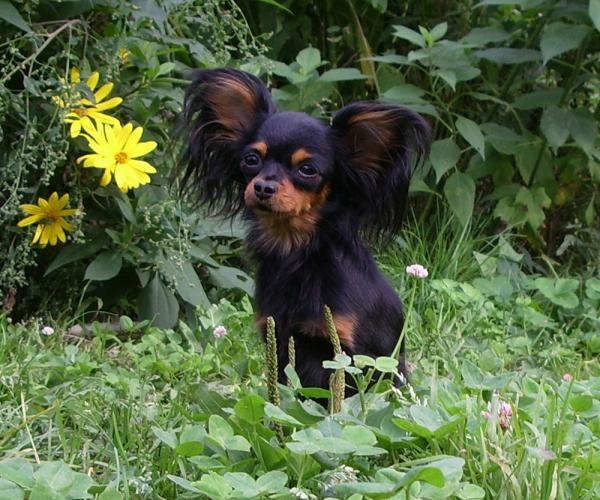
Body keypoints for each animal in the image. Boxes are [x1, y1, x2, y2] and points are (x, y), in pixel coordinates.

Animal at [180, 67, 428, 394]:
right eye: (251, 160)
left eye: (307, 169)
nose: (263, 187)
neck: (297, 253)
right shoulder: (278, 339)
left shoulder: (351, 353)